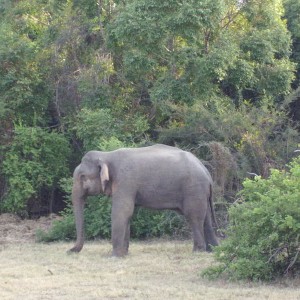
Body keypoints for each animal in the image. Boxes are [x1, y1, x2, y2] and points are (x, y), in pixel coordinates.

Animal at [68, 144, 218, 256]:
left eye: (82, 177)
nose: (69, 250)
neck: (106, 155)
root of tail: (207, 174)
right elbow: (127, 214)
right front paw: (124, 254)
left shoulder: (125, 181)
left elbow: (121, 211)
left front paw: (114, 256)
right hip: (201, 193)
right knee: (206, 219)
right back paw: (212, 250)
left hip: (194, 190)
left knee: (194, 217)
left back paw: (198, 251)